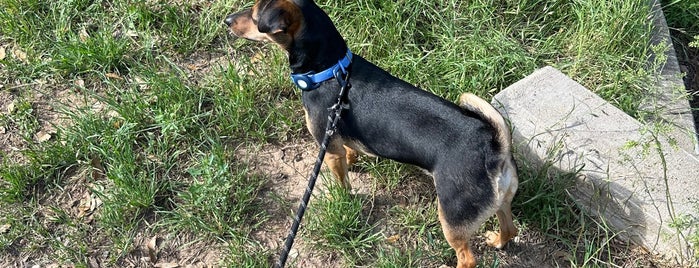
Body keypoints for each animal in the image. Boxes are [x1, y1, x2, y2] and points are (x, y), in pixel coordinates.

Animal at [226, 1, 520, 266]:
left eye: (254, 16)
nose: (227, 20)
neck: (330, 70)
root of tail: (493, 150)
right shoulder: (338, 137)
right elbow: (349, 151)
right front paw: (353, 160)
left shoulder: (328, 149)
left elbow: (341, 179)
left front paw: (342, 197)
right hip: (501, 202)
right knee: (510, 228)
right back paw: (497, 240)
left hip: (452, 218)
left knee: (467, 258)